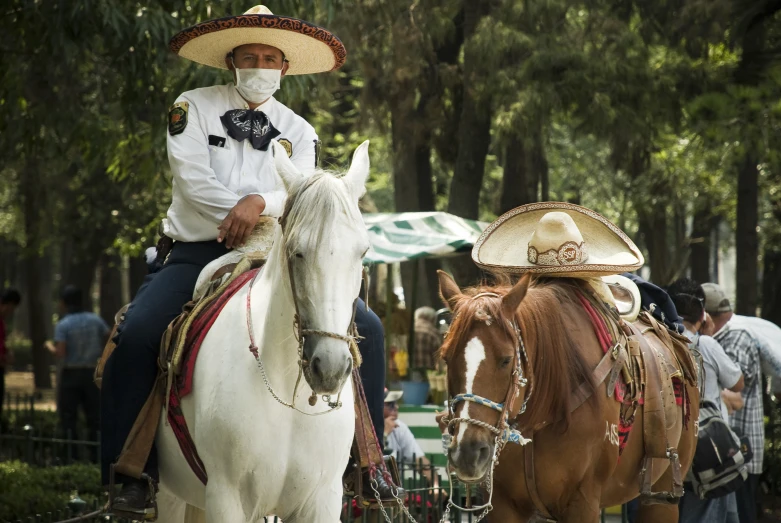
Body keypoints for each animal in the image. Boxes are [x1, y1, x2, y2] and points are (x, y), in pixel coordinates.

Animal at [155, 140, 372, 523]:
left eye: (362, 252)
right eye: (297, 252)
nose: (330, 368)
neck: (286, 395)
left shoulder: (321, 500)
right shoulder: (227, 499)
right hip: (170, 495)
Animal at [436, 272, 696, 523]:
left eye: (506, 359)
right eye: (446, 357)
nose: (468, 452)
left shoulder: (583, 502)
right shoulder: (504, 505)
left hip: (662, 495)